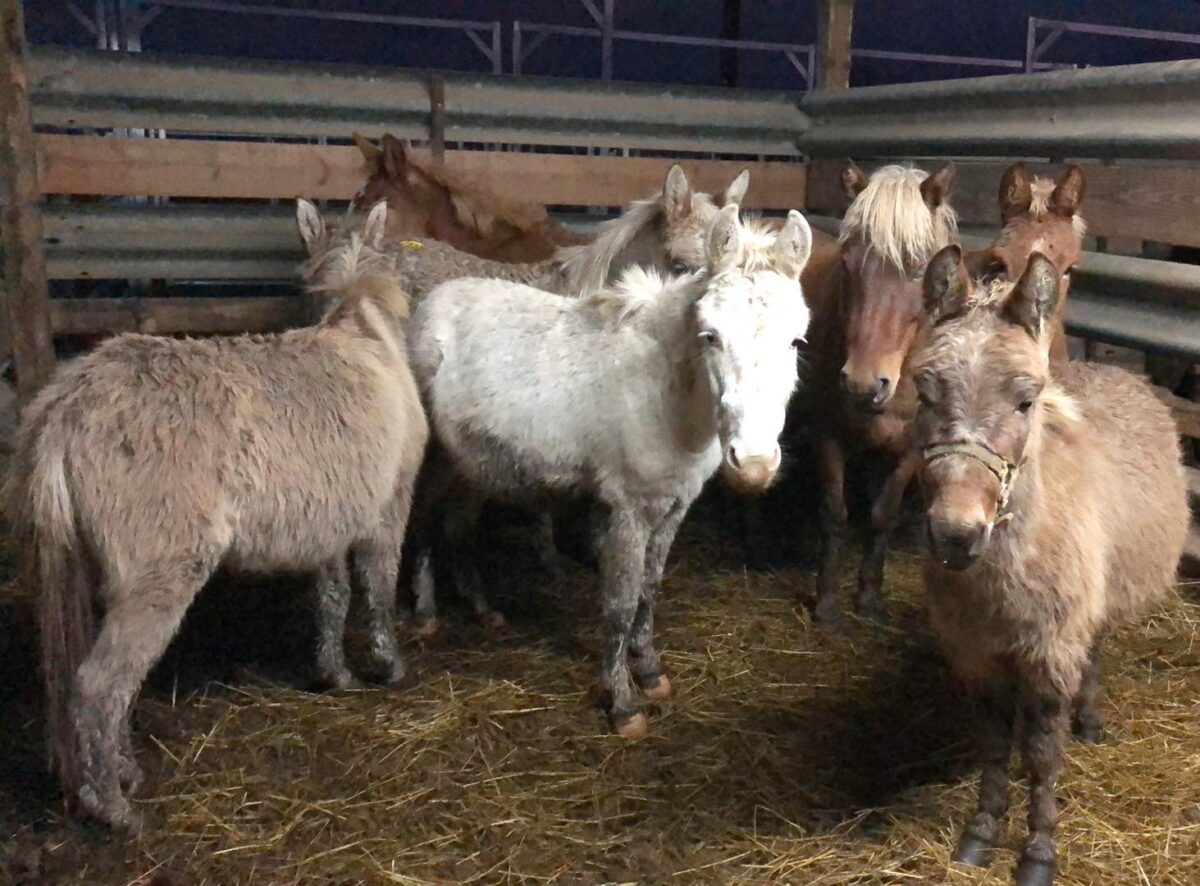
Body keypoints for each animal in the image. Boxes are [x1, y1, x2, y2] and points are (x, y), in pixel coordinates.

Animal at [11, 202, 428, 831]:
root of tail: (69, 407)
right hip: (160, 577)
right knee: (99, 685)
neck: (362, 328)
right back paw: (114, 809)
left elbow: (332, 597)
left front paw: (335, 675)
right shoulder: (388, 507)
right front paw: (388, 666)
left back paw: (121, 775)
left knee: (104, 683)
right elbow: (378, 587)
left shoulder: (330, 524)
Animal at [407, 205, 813, 737]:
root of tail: (429, 303)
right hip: (435, 457)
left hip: (471, 462)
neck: (664, 394)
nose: (754, 465)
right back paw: (425, 616)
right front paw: (622, 704)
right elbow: (620, 602)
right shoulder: (628, 511)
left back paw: (483, 609)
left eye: (796, 340)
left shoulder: (673, 507)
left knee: (456, 525)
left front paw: (651, 672)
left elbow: (649, 590)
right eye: (711, 336)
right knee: (421, 521)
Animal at [803, 162, 958, 629]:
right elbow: (834, 514)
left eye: (920, 268)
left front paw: (869, 597)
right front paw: (827, 604)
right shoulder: (827, 435)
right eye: (848, 264)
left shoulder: (910, 449)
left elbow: (882, 515)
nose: (863, 383)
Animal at [915, 246, 1188, 886]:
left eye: (1025, 400)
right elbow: (994, 741)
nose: (956, 535)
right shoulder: (978, 652)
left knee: (1094, 656)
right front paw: (980, 833)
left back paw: (1087, 721)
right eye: (923, 391)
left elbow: (1044, 751)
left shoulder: (1051, 649)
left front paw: (1039, 851)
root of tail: (1120, 373)